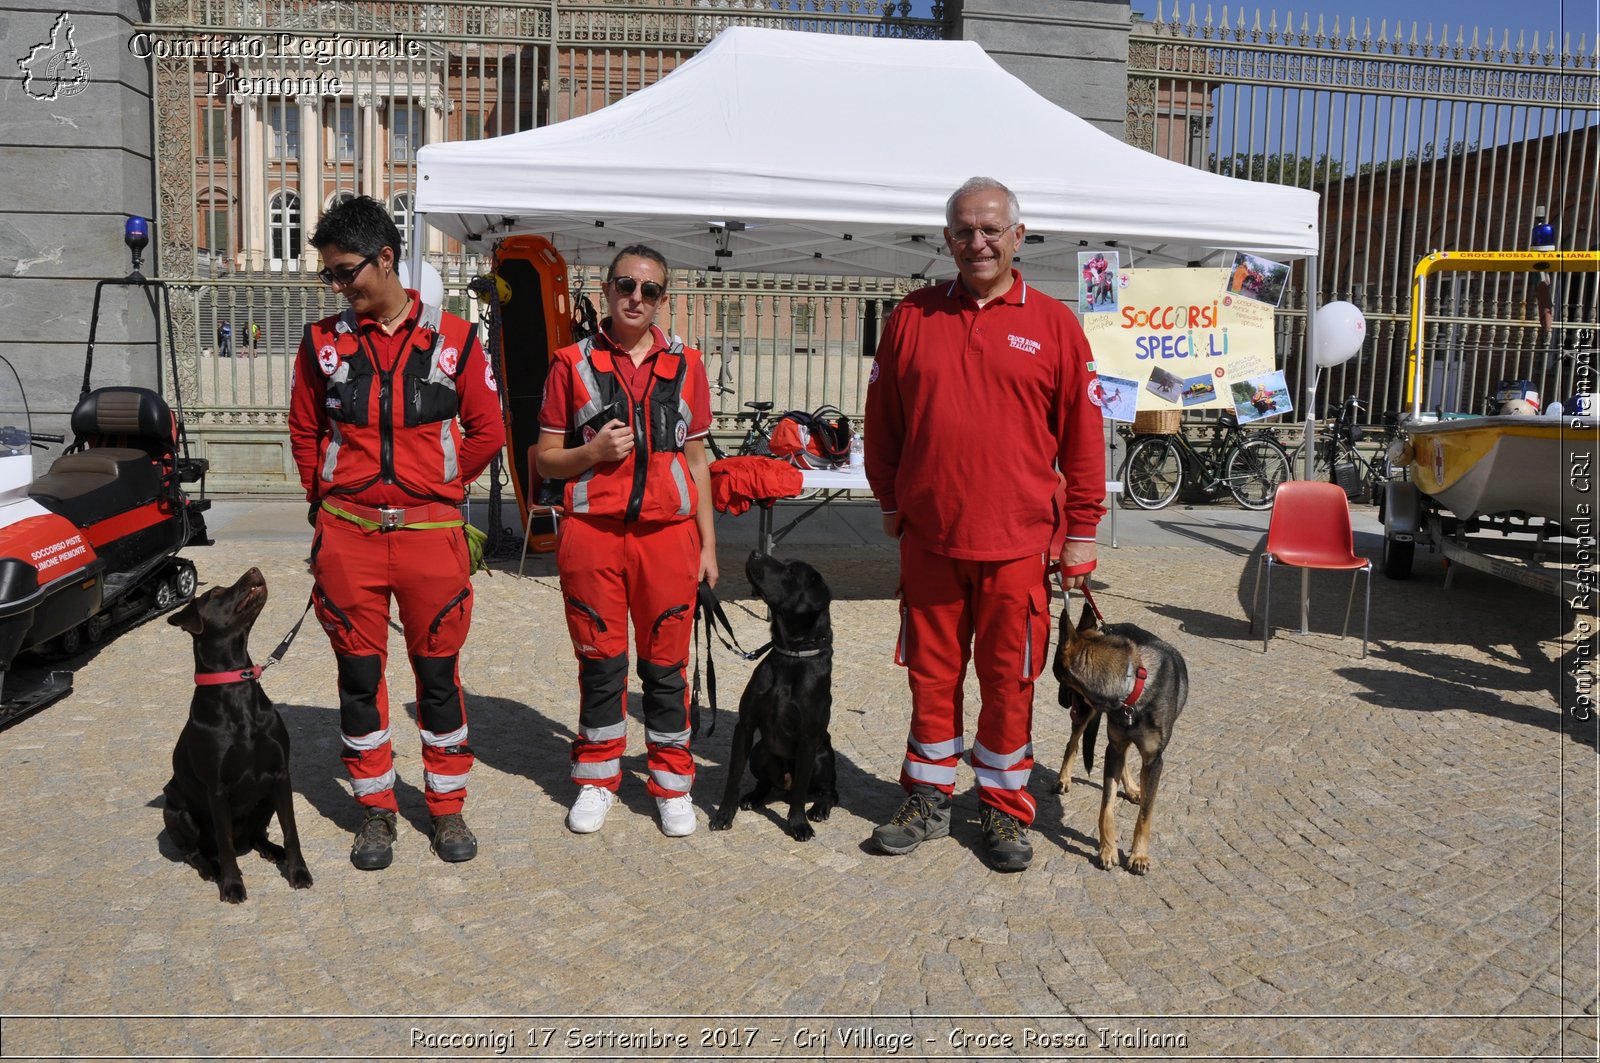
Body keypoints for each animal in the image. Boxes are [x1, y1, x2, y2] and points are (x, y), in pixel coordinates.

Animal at [163, 569, 312, 902]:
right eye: (216, 593)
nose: (254, 570)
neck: (236, 687)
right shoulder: (216, 789)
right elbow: (225, 845)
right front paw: (232, 884)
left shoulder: (280, 774)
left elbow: (292, 830)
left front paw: (298, 871)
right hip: (176, 811)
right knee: (197, 851)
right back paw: (211, 868)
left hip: (266, 799)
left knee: (256, 836)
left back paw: (273, 851)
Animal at [710, 550, 844, 845]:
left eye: (792, 571)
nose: (754, 553)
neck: (792, 655)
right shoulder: (745, 726)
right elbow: (733, 776)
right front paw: (724, 815)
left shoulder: (808, 739)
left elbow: (800, 794)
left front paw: (799, 824)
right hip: (760, 751)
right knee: (766, 782)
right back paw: (753, 797)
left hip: (822, 756)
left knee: (829, 791)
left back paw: (819, 808)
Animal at [1056, 601, 1184, 877]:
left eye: (1060, 678)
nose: (1061, 701)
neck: (1132, 686)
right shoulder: (1113, 747)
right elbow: (1106, 807)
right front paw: (1107, 850)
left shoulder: (1153, 761)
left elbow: (1146, 814)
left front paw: (1139, 855)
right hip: (1089, 717)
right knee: (1073, 742)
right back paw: (1064, 778)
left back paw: (1134, 788)